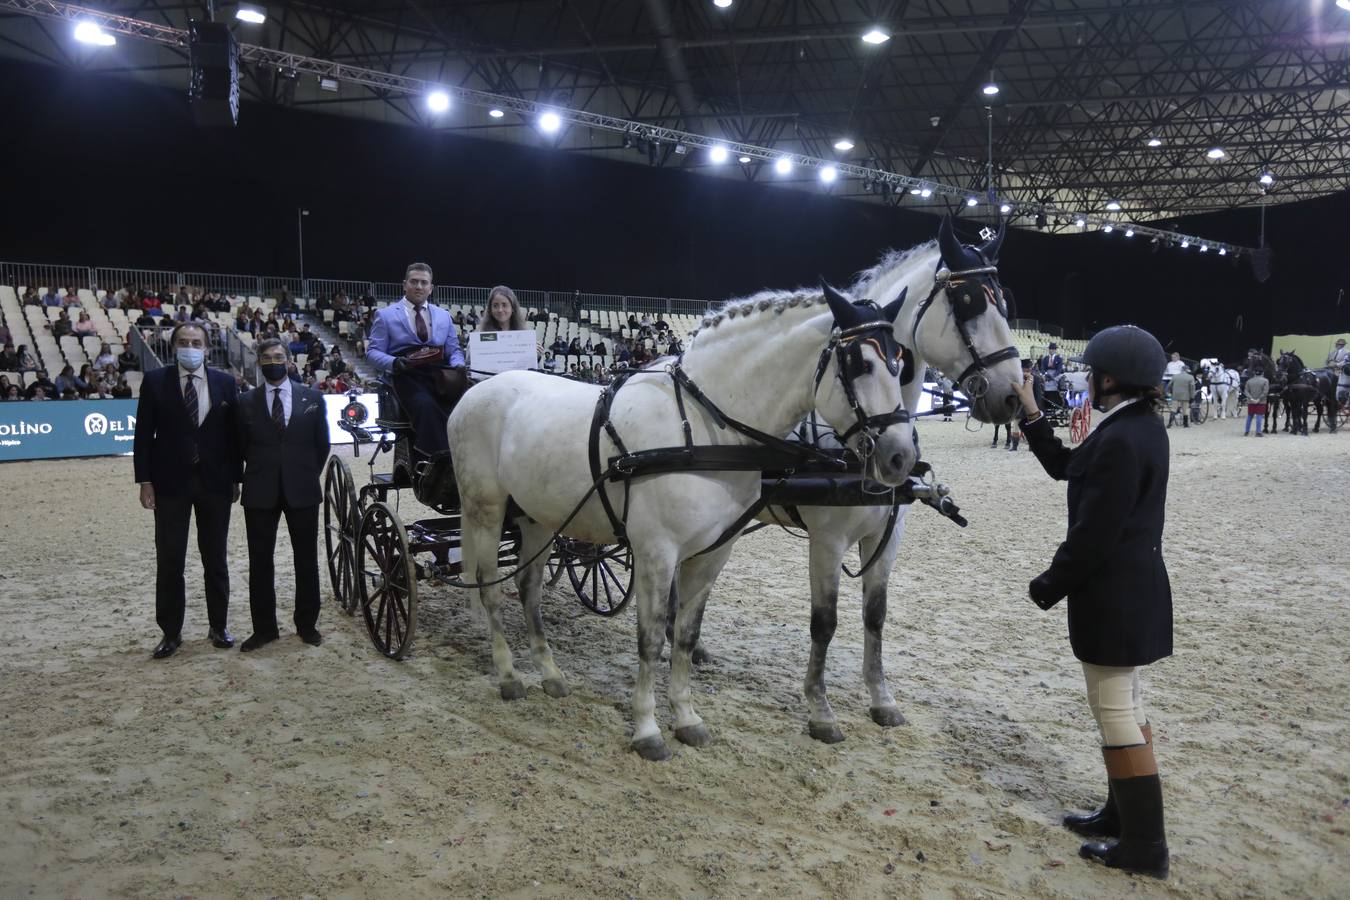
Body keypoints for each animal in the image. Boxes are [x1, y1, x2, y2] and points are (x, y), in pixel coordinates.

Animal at [450, 288, 918, 761]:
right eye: (860, 364)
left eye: (900, 362)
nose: (901, 457)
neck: (702, 428)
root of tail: (477, 390)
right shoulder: (657, 551)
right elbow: (652, 637)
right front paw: (647, 728)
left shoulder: (712, 552)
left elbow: (686, 637)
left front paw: (687, 719)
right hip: (485, 510)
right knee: (489, 587)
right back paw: (509, 675)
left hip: (539, 517)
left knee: (528, 589)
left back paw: (549, 673)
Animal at [745, 215, 1015, 739]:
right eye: (968, 304)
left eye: (1006, 303)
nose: (1015, 394)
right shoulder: (826, 541)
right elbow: (825, 622)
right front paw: (820, 709)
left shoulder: (888, 536)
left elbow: (875, 616)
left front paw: (881, 699)